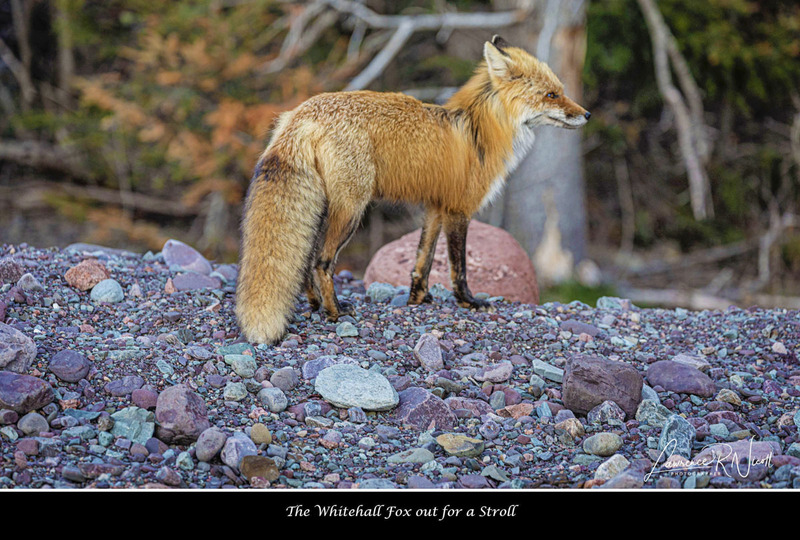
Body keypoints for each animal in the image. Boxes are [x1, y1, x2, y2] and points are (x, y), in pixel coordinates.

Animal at [236, 35, 590, 344]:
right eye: (551, 95)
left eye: (561, 91)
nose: (586, 114)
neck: (480, 132)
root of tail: (302, 113)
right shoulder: (458, 209)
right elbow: (458, 267)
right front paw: (469, 302)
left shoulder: (435, 208)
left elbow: (423, 259)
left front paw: (419, 298)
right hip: (352, 209)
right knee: (322, 262)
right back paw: (335, 312)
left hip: (323, 207)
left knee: (307, 260)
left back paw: (313, 304)